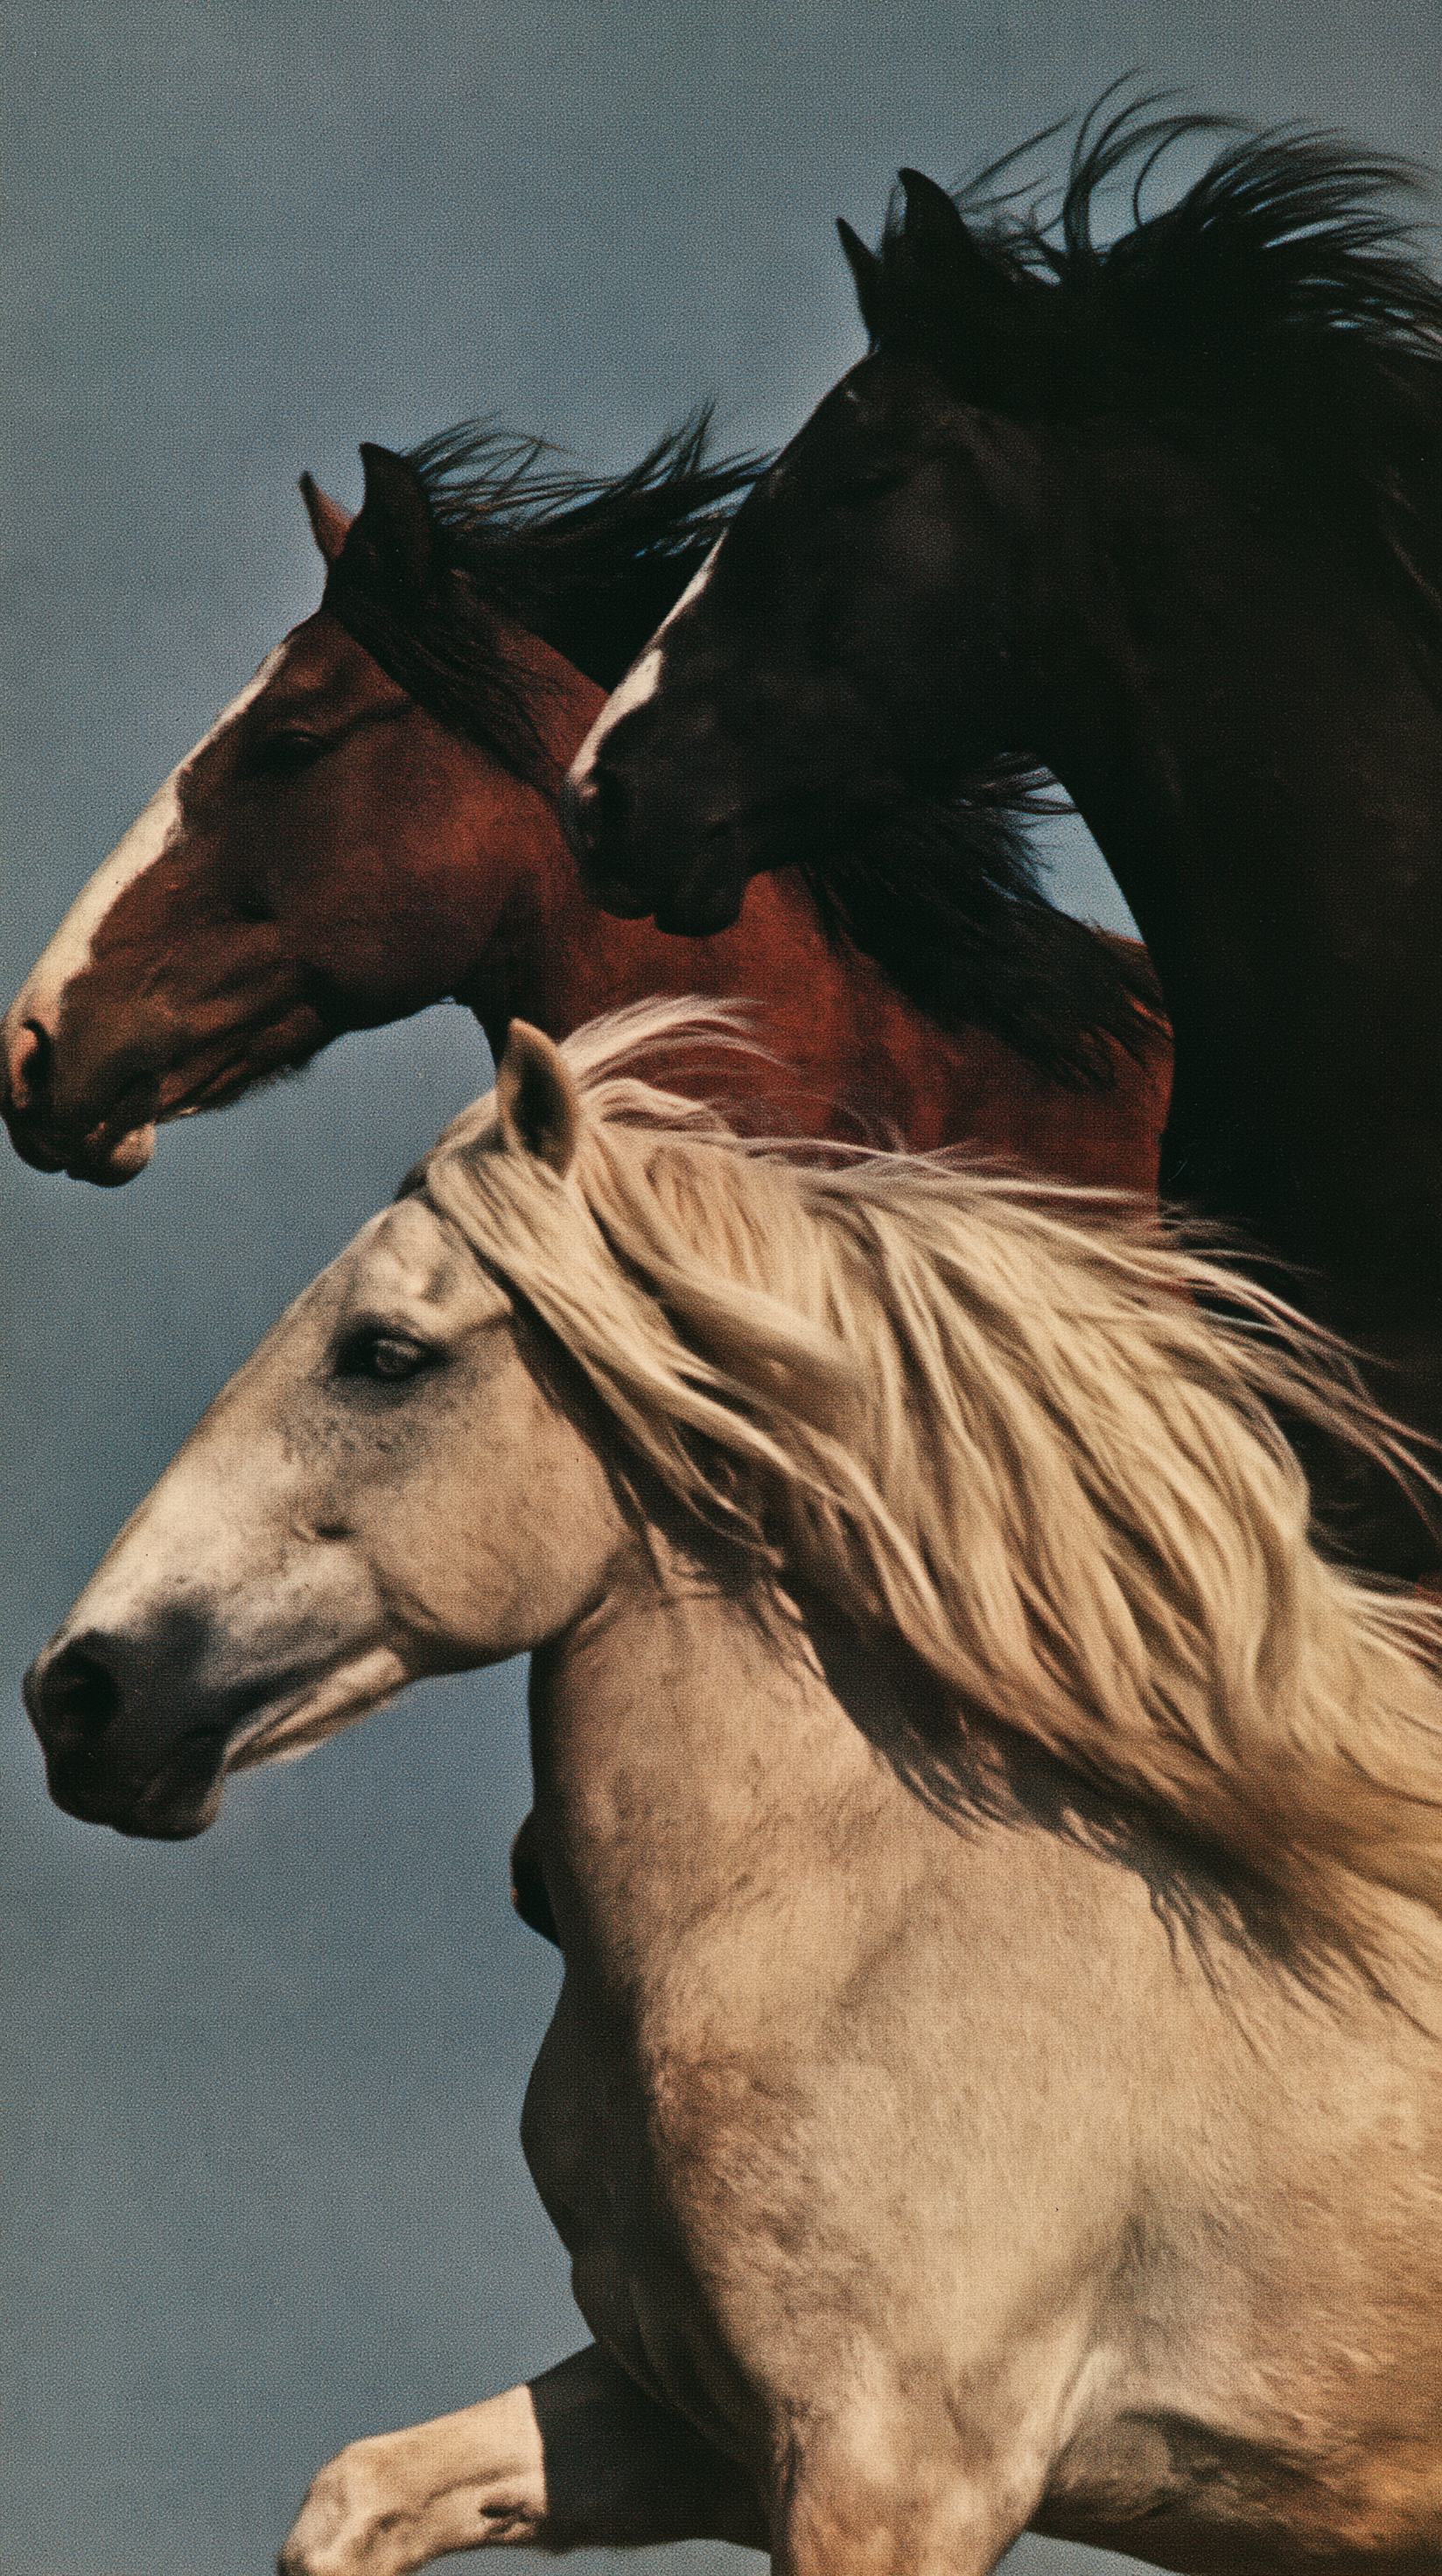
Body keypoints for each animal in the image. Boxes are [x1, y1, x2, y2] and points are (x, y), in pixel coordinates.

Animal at [25, 1002, 1442, 2576]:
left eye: (385, 1353)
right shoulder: (689, 2420)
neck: (850, 1920)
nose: (80, 1695)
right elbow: (356, 2493)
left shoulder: (896, 2471)